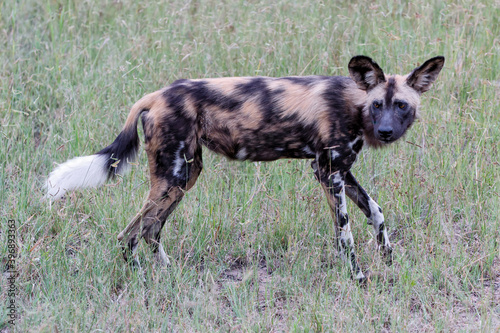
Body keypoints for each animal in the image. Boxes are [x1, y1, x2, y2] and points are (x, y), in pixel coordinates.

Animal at [47, 54, 446, 280]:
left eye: (402, 105)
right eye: (378, 105)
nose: (386, 132)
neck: (354, 103)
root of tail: (156, 95)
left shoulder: (341, 171)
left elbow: (377, 212)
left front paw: (388, 258)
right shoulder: (328, 173)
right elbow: (345, 234)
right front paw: (359, 277)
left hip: (183, 178)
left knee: (147, 230)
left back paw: (166, 273)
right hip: (173, 177)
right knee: (130, 233)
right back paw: (143, 279)